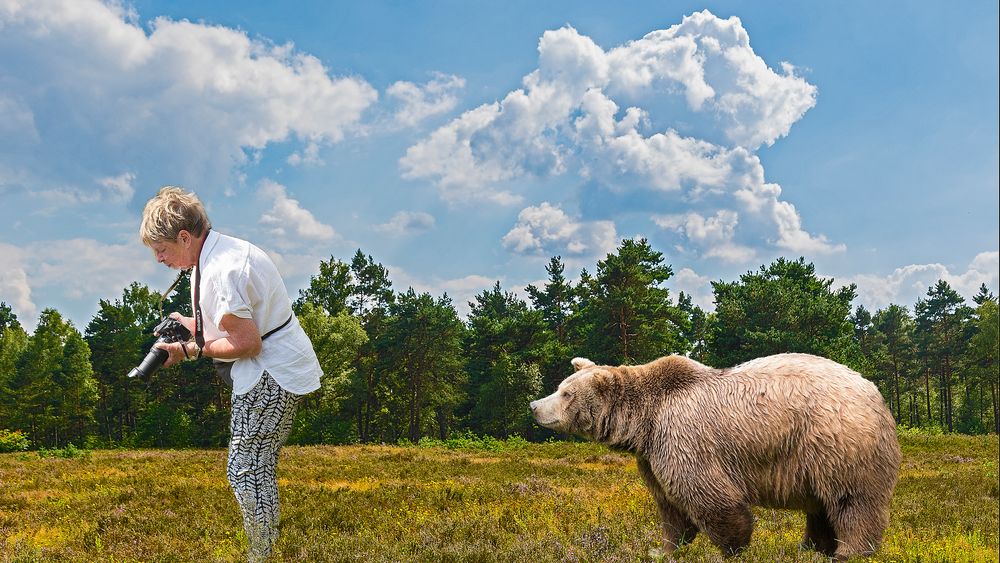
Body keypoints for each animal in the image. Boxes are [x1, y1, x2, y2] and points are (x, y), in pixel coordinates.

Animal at [532, 352, 908, 560]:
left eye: (565, 393)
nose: (535, 406)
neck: (644, 423)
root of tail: (875, 393)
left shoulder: (683, 437)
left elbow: (707, 494)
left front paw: (732, 547)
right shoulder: (652, 456)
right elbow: (670, 507)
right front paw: (661, 549)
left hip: (836, 441)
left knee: (851, 500)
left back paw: (848, 551)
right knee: (821, 507)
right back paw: (814, 547)